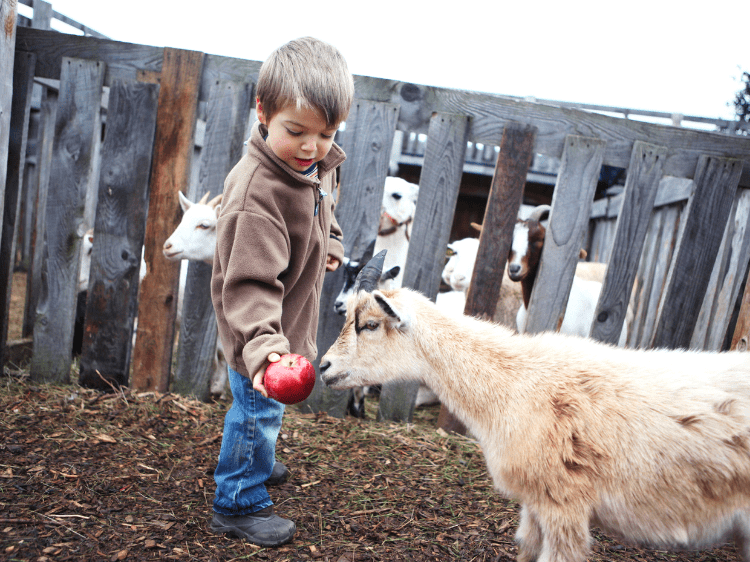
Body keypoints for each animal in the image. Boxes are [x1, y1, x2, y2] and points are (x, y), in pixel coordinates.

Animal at [320, 252, 750, 560]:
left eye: (370, 325)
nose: (323, 366)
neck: (517, 381)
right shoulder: (534, 502)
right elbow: (524, 547)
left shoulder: (564, 503)